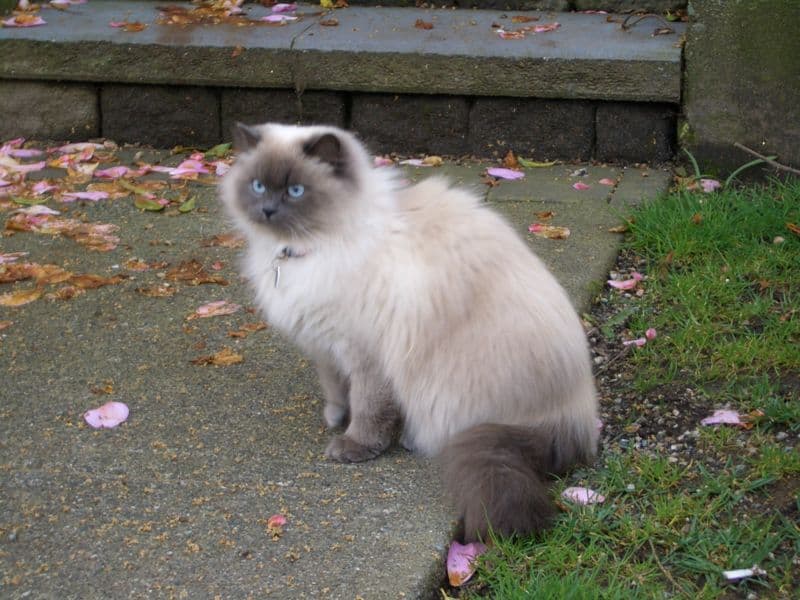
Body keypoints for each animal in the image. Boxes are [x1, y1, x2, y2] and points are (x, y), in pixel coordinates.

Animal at [219, 123, 600, 544]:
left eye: (296, 191)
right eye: (257, 186)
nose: (268, 210)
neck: (307, 249)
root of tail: (577, 418)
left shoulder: (366, 353)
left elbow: (368, 408)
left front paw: (352, 445)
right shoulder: (326, 347)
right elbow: (336, 389)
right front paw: (335, 417)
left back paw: (410, 438)